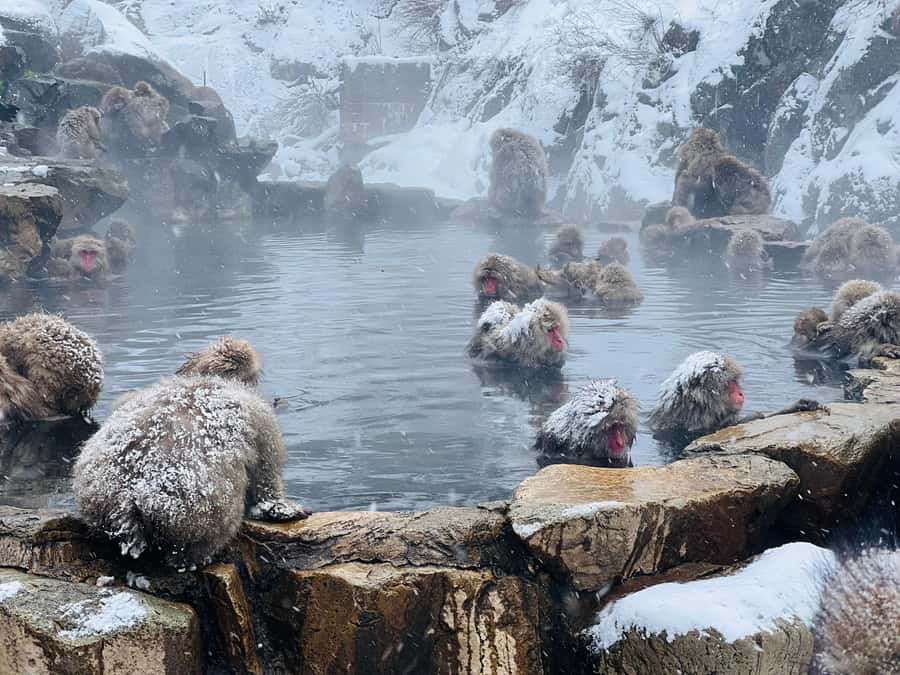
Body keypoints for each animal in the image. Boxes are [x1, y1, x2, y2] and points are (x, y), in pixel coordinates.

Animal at [72, 373, 308, 569]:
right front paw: (278, 507)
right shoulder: (260, 421)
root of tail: (128, 499)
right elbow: (265, 475)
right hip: (194, 512)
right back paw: (193, 557)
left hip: (97, 496)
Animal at [648, 350, 820, 447]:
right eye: (731, 383)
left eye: (736, 382)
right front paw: (753, 416)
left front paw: (801, 404)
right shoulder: (691, 427)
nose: (741, 394)